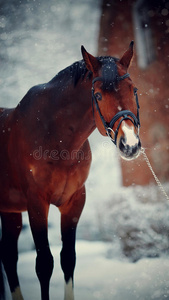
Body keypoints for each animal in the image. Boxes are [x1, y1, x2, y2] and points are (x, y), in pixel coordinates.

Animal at [0, 42, 140, 300]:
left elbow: (68, 259)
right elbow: (44, 264)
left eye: (133, 89)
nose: (130, 144)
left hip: (10, 210)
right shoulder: (37, 203)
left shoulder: (74, 202)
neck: (55, 136)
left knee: (8, 257)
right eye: (98, 95)